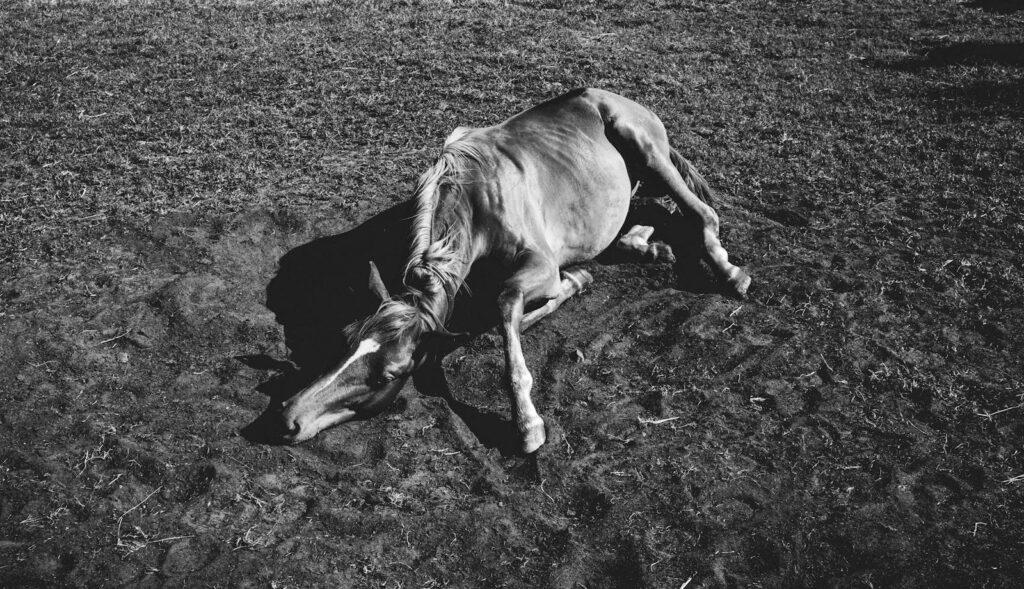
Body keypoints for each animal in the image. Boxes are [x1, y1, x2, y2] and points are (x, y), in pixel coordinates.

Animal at [277, 88, 750, 453]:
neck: (475, 200)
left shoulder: (540, 265)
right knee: (648, 217)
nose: (289, 418)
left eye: (389, 374)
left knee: (701, 213)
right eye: (345, 341)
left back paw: (730, 272)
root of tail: (622, 99)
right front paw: (575, 284)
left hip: (648, 152)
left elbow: (506, 308)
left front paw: (527, 424)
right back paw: (649, 249)